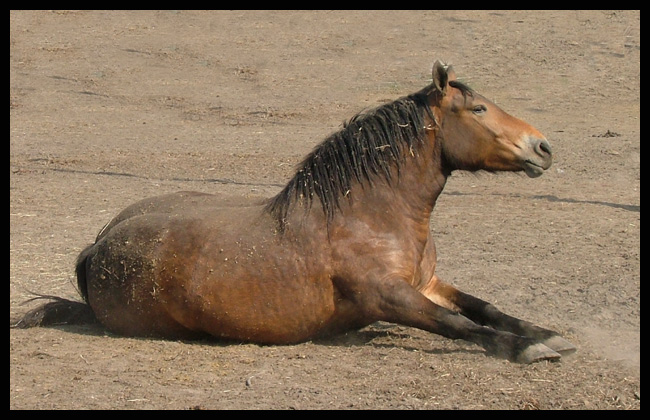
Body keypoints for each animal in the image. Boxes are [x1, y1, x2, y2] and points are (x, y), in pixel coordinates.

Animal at [12, 60, 572, 364]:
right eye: (477, 109)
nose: (542, 147)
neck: (372, 215)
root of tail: (95, 248)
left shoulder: (429, 283)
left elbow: (486, 307)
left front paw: (546, 334)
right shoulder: (391, 298)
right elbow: (458, 324)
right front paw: (526, 349)